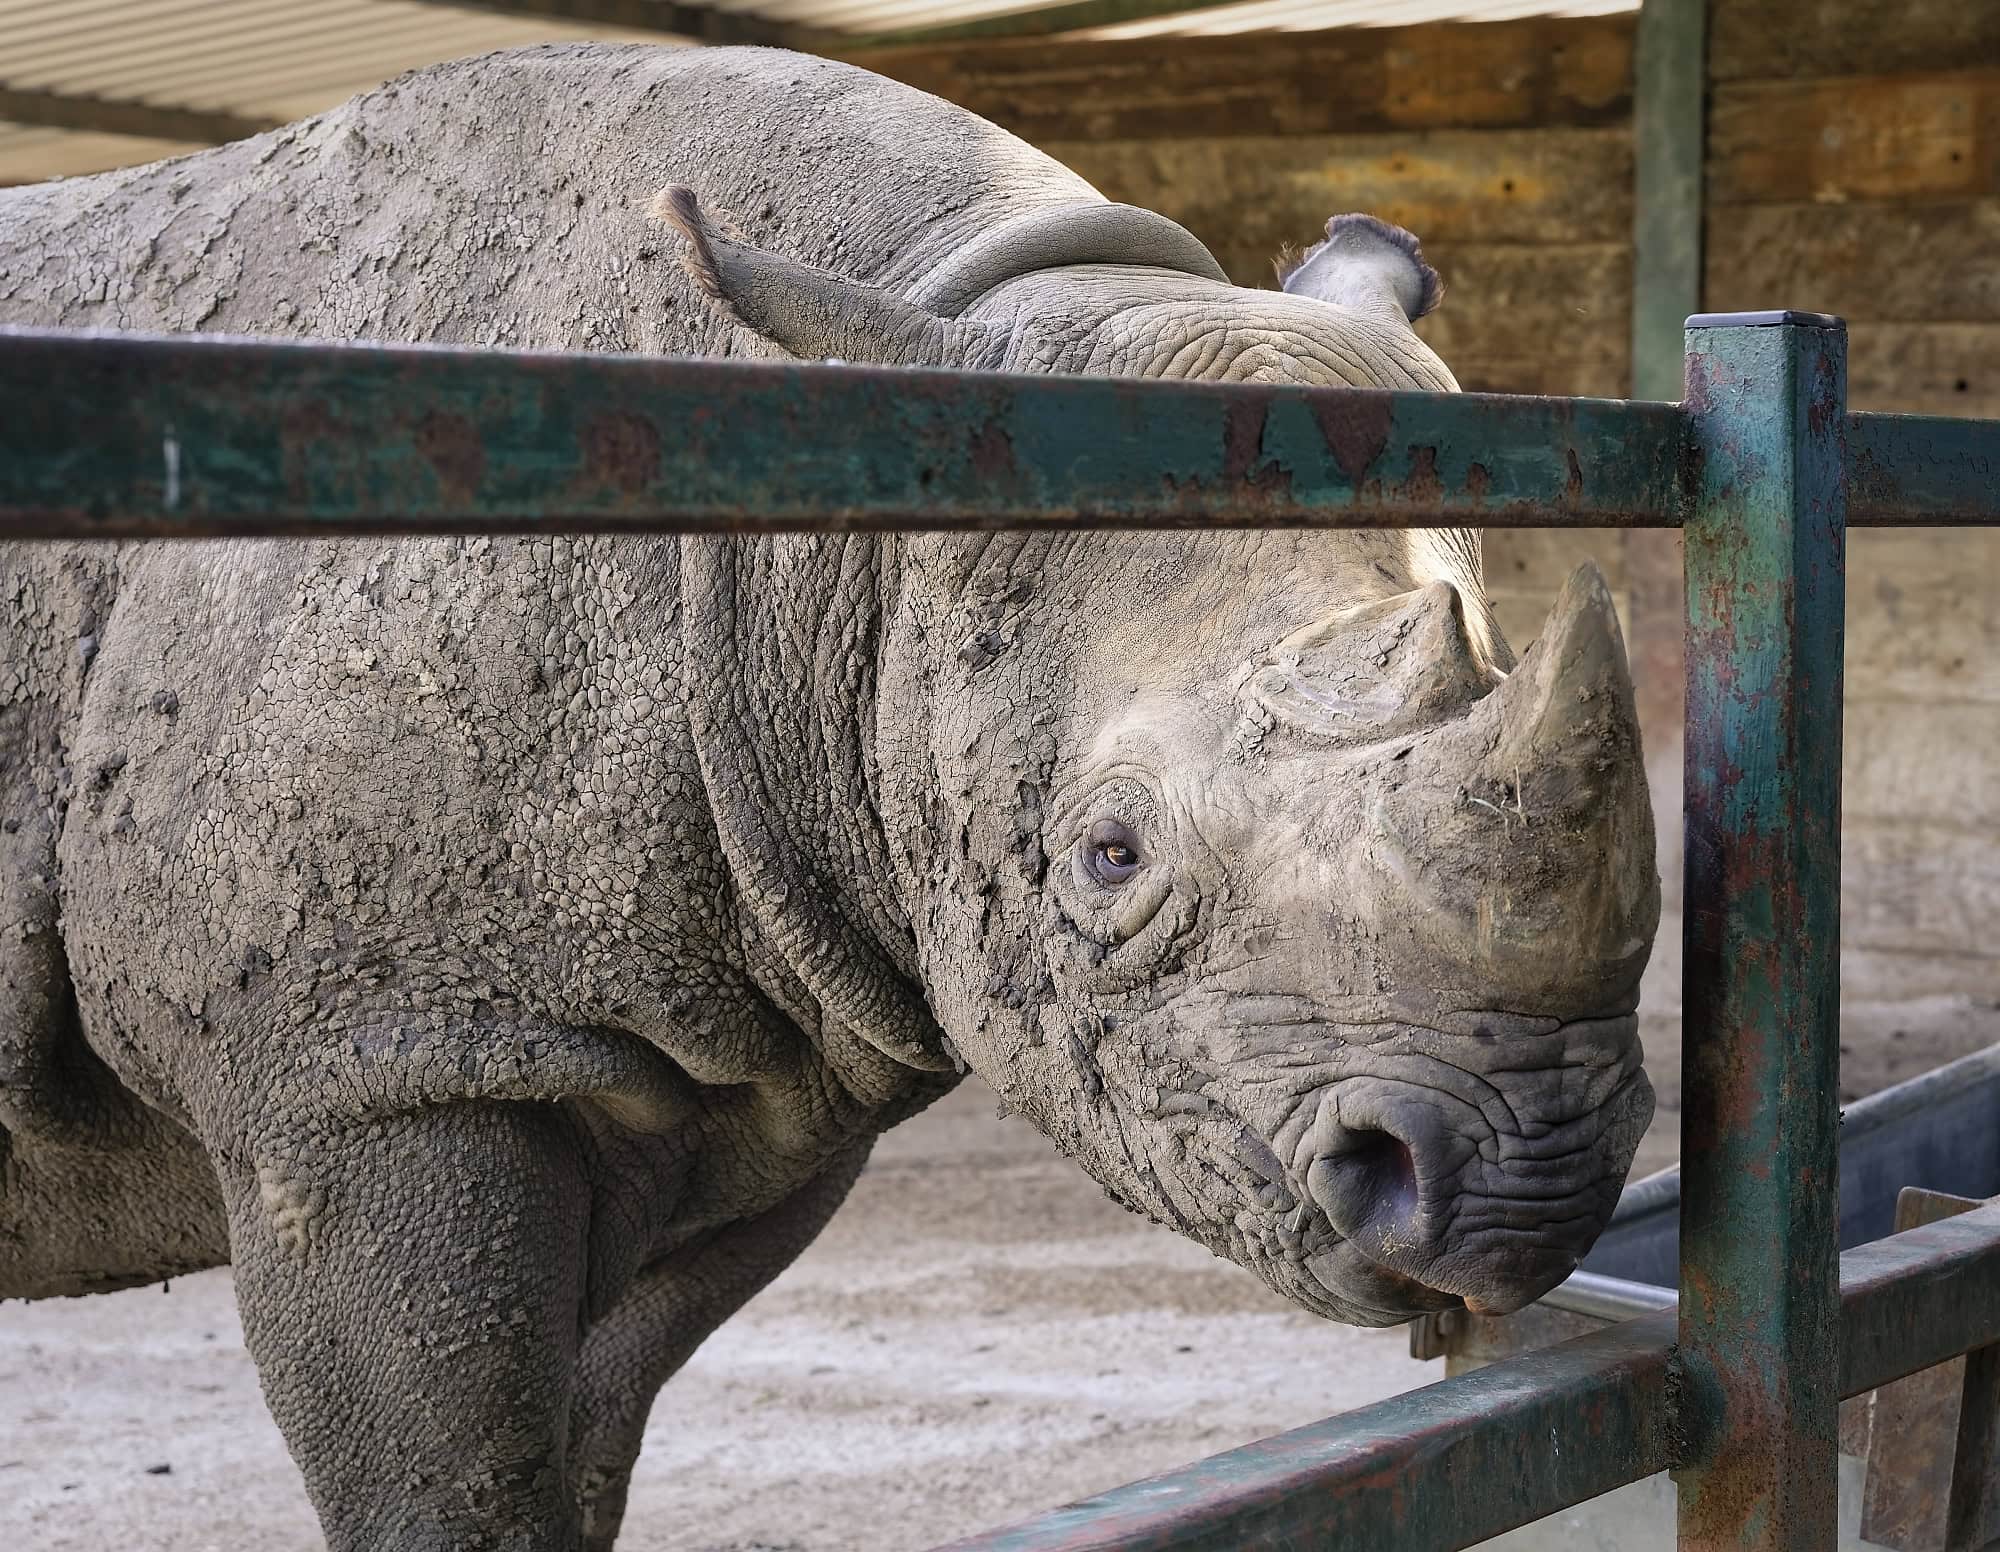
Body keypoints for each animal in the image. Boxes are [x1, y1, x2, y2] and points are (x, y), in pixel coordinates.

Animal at [0, 41, 1658, 1552]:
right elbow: (449, 1484)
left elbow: (583, 1443)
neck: (837, 534)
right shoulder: (365, 1066)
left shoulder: (770, 1042)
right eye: (1107, 857)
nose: (1525, 1184)